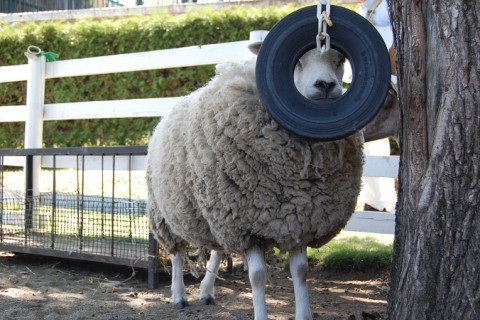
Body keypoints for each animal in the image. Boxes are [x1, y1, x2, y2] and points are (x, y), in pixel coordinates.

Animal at [146, 45, 364, 320]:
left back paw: (206, 291)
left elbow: (301, 272)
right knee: (176, 253)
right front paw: (261, 314)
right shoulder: (248, 227)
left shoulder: (298, 221)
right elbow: (258, 276)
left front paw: (304, 314)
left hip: (218, 213)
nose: (326, 85)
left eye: (341, 59)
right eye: (297, 60)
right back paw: (179, 295)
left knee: (217, 251)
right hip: (168, 212)